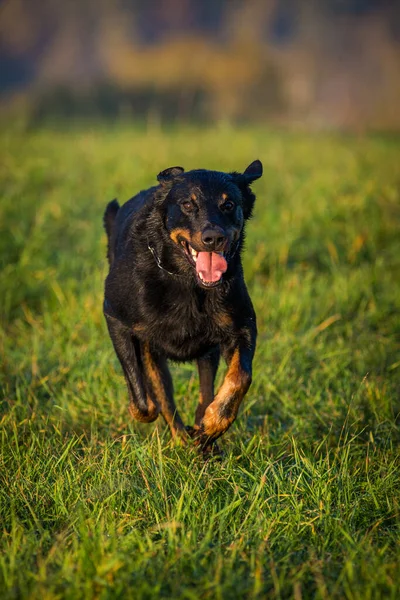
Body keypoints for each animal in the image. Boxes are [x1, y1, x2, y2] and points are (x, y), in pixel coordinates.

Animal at [104, 162, 262, 452]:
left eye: (229, 204)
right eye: (188, 204)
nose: (214, 237)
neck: (188, 282)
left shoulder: (242, 325)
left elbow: (241, 377)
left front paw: (212, 424)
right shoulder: (115, 317)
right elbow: (144, 400)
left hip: (208, 352)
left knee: (205, 391)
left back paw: (203, 435)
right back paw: (182, 439)